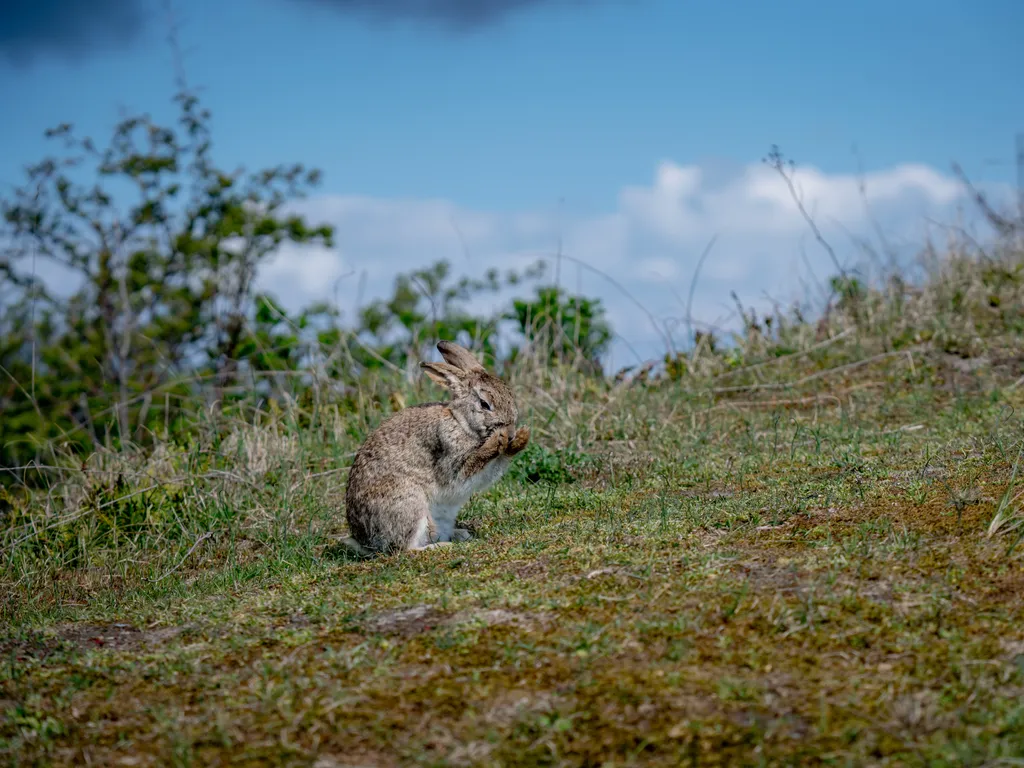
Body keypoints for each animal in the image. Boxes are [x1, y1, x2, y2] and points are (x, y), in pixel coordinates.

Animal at [342, 339, 532, 557]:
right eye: (485, 404)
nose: (510, 433)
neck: (460, 422)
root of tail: (365, 542)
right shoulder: (450, 459)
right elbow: (466, 471)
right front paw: (497, 441)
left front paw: (522, 438)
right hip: (409, 503)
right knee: (404, 549)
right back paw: (440, 546)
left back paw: (460, 535)